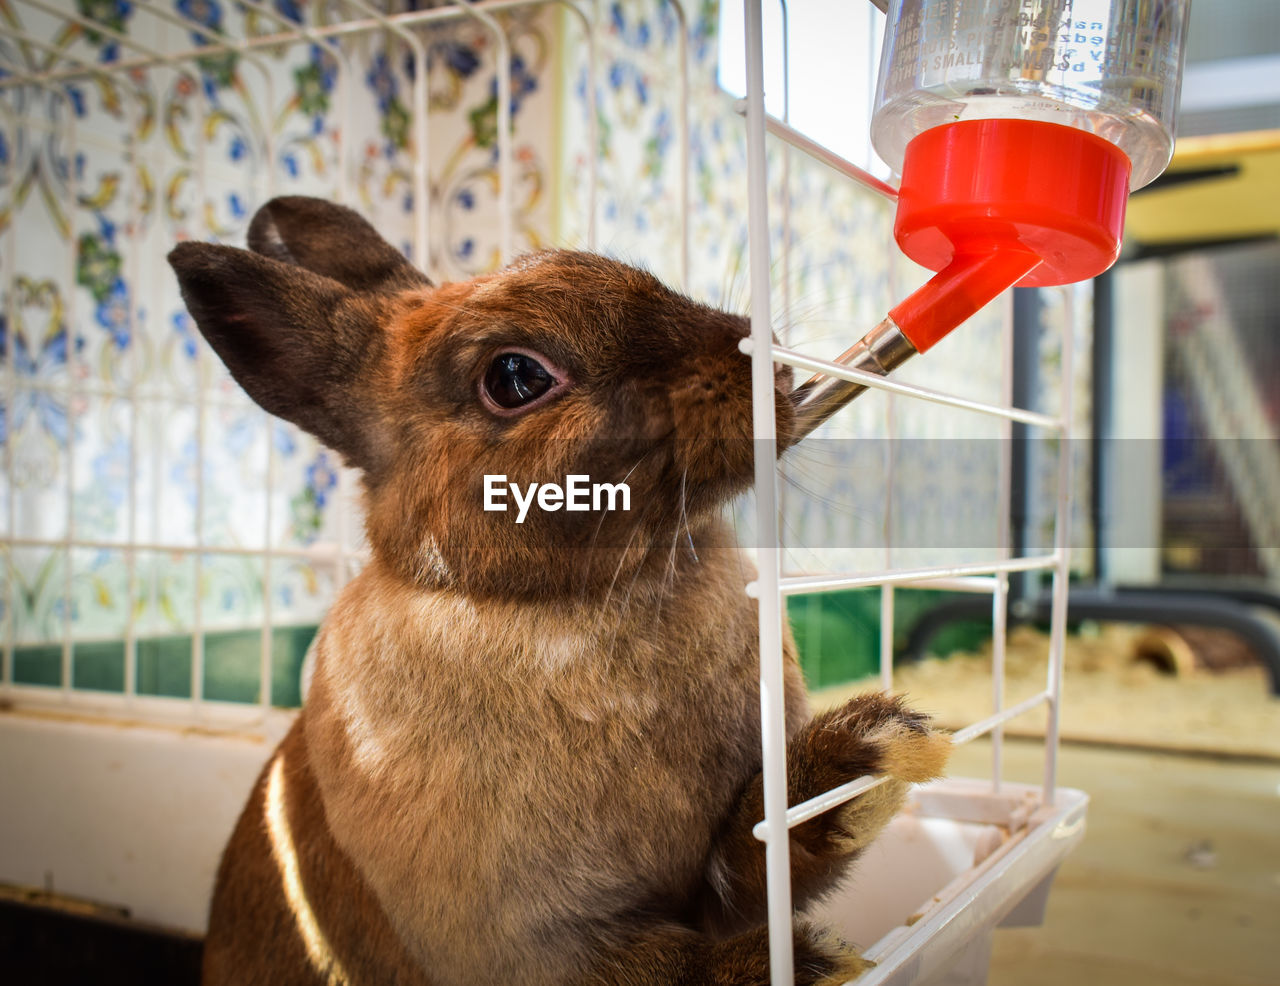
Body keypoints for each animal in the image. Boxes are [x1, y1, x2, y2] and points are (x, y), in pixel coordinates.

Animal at [170, 194, 952, 983]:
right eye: (515, 377)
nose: (767, 363)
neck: (559, 598)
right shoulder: (541, 948)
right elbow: (670, 967)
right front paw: (804, 962)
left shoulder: (718, 881)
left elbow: (759, 849)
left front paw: (873, 754)